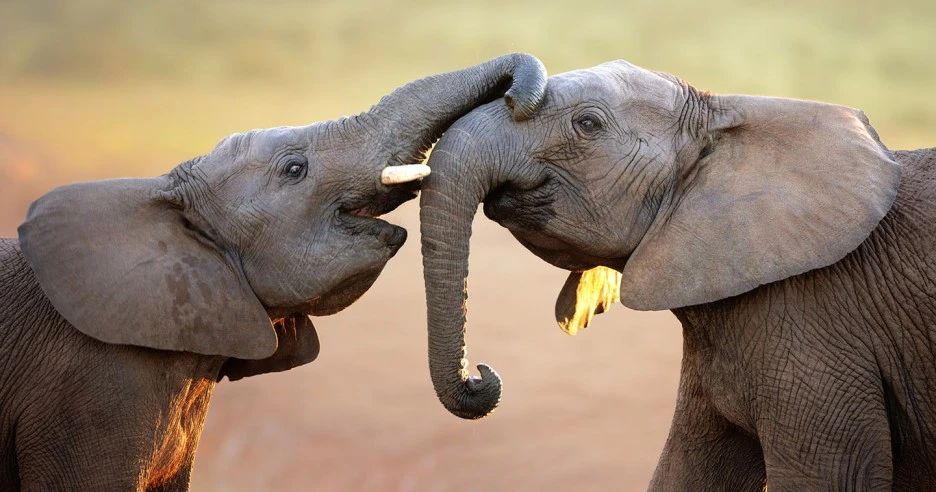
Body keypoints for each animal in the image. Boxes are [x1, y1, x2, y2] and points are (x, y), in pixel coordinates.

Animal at [418, 59, 936, 491]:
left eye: (588, 124)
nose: (481, 375)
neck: (726, 118)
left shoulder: (815, 321)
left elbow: (831, 477)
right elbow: (687, 471)